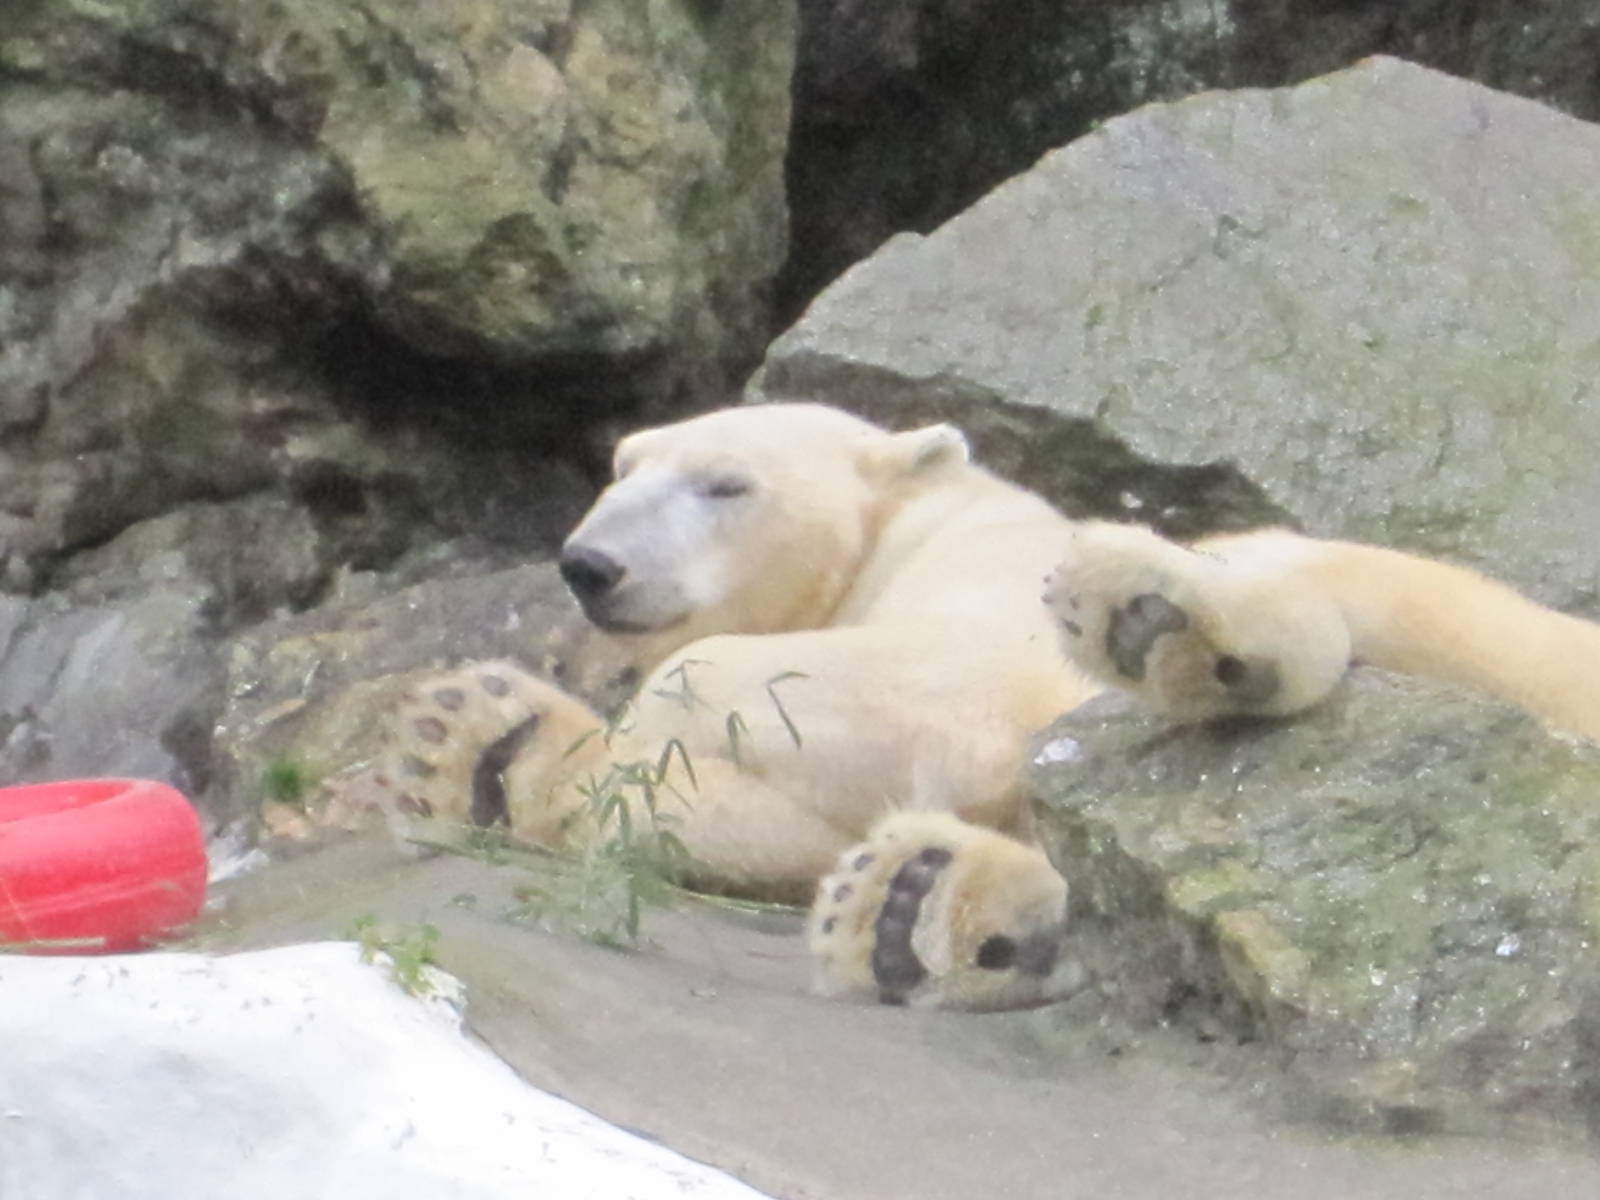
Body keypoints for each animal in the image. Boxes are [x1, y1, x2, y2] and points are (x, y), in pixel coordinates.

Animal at [368, 402, 1600, 1011]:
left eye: (725, 483)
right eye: (619, 468)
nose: (591, 565)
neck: (901, 532)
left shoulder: (984, 586)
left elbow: (947, 691)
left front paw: (619, 731)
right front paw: (468, 744)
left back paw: (1172, 628)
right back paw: (918, 906)